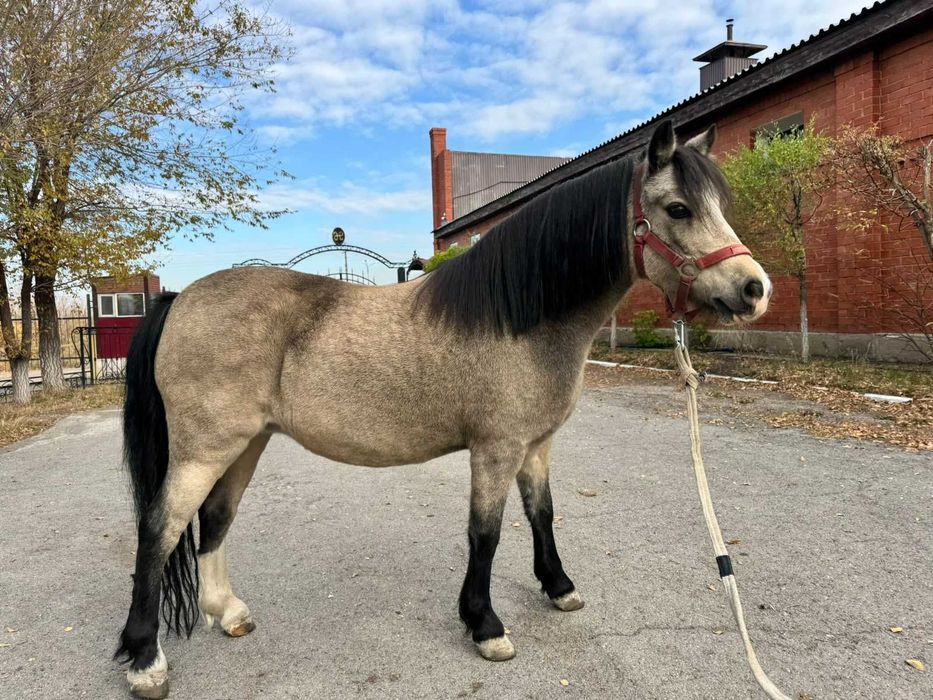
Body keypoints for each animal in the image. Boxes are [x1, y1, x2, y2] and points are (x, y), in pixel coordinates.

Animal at [114, 120, 771, 698]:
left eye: (719, 204)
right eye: (678, 209)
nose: (754, 289)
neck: (520, 316)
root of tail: (180, 298)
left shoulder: (535, 445)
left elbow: (542, 515)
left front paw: (558, 587)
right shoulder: (495, 448)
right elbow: (486, 534)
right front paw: (485, 625)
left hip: (246, 444)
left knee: (215, 519)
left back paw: (226, 613)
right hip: (205, 449)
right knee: (158, 529)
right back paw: (146, 661)